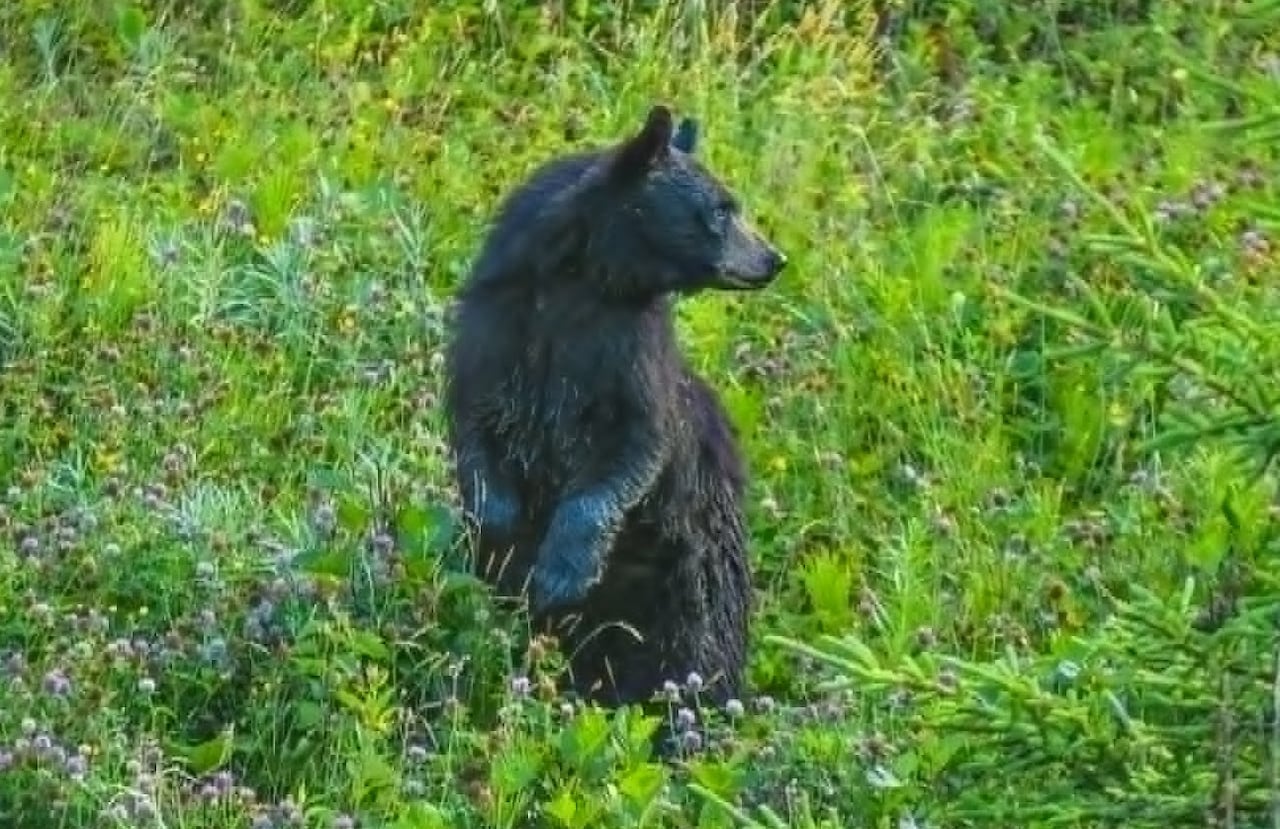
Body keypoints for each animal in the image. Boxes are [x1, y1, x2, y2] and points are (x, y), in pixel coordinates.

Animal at [442, 104, 787, 720]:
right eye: (722, 209)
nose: (774, 258)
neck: (584, 281)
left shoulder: (628, 357)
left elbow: (631, 449)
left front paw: (561, 571)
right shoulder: (494, 330)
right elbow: (474, 425)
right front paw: (500, 531)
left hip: (689, 586)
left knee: (693, 652)